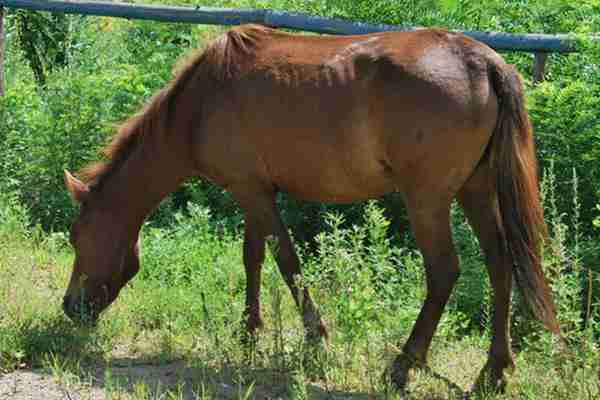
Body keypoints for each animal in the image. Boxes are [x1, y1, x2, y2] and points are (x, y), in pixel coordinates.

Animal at [63, 24, 560, 390]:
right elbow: (254, 258)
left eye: (77, 237)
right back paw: (493, 372)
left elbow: (286, 261)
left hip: (428, 200)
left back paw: (403, 366)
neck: (199, 104)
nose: (70, 308)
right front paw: (249, 331)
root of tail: (484, 61)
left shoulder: (252, 191)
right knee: (500, 265)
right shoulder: (255, 191)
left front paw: (313, 337)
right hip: (475, 192)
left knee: (444, 273)